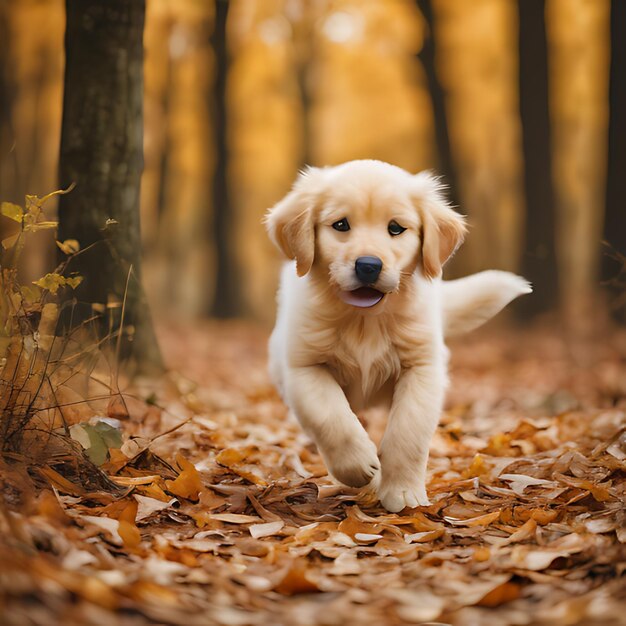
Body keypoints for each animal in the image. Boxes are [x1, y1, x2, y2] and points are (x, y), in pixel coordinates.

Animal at [262, 158, 528, 510]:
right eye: (341, 225)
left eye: (396, 228)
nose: (368, 266)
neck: (365, 319)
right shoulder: (303, 366)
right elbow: (330, 416)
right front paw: (357, 466)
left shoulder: (423, 368)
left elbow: (408, 432)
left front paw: (403, 493)